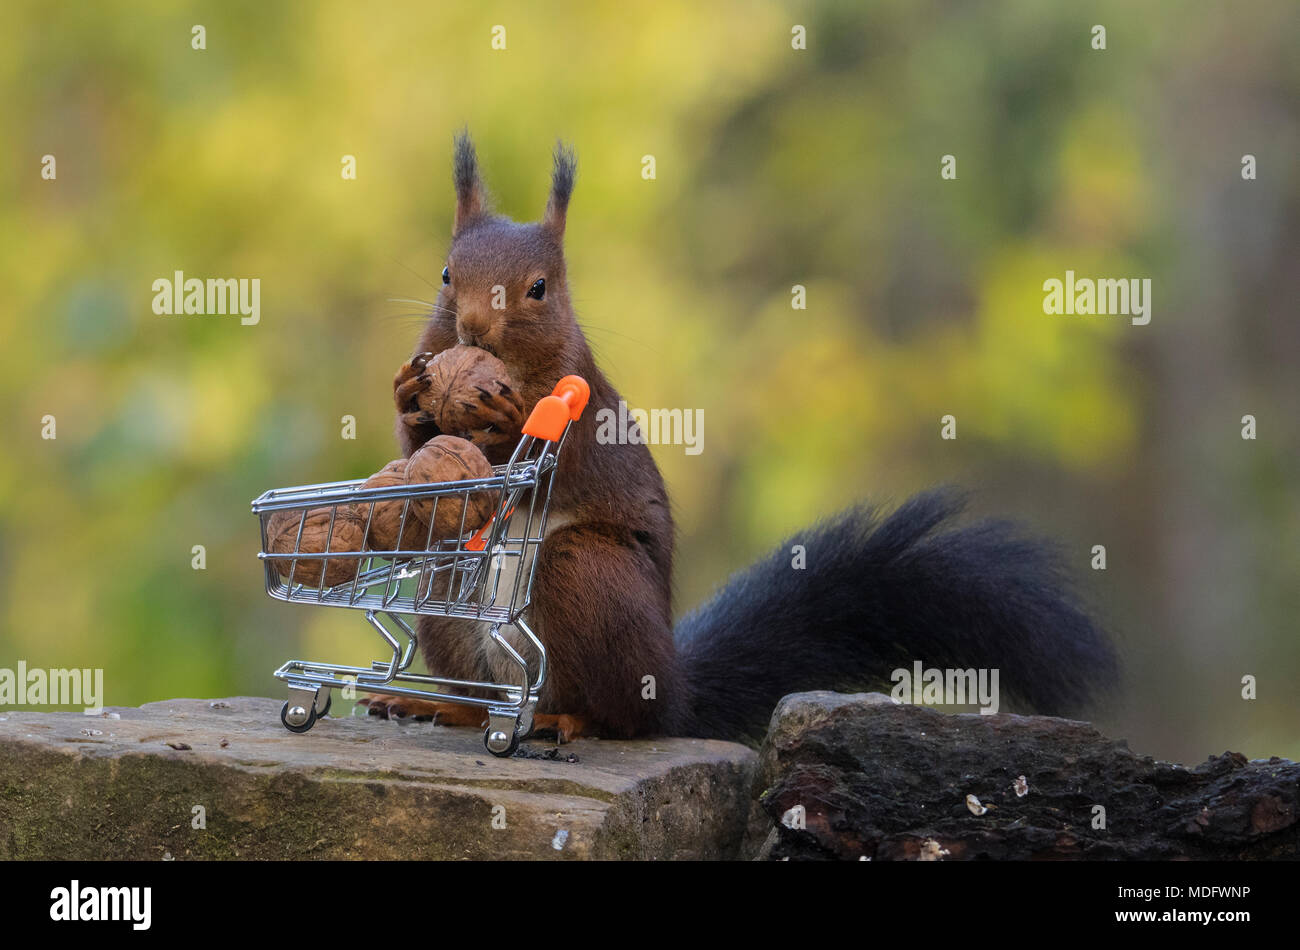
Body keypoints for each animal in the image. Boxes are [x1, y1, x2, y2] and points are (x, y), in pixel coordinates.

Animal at [360, 132, 1119, 744]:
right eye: (446, 275)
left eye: (539, 288)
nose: (472, 330)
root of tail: (674, 690)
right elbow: (418, 448)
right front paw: (410, 391)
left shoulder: (584, 401)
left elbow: (554, 454)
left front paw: (506, 407)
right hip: (447, 582)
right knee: (486, 696)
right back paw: (441, 707)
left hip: (587, 576)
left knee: (614, 716)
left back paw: (563, 717)